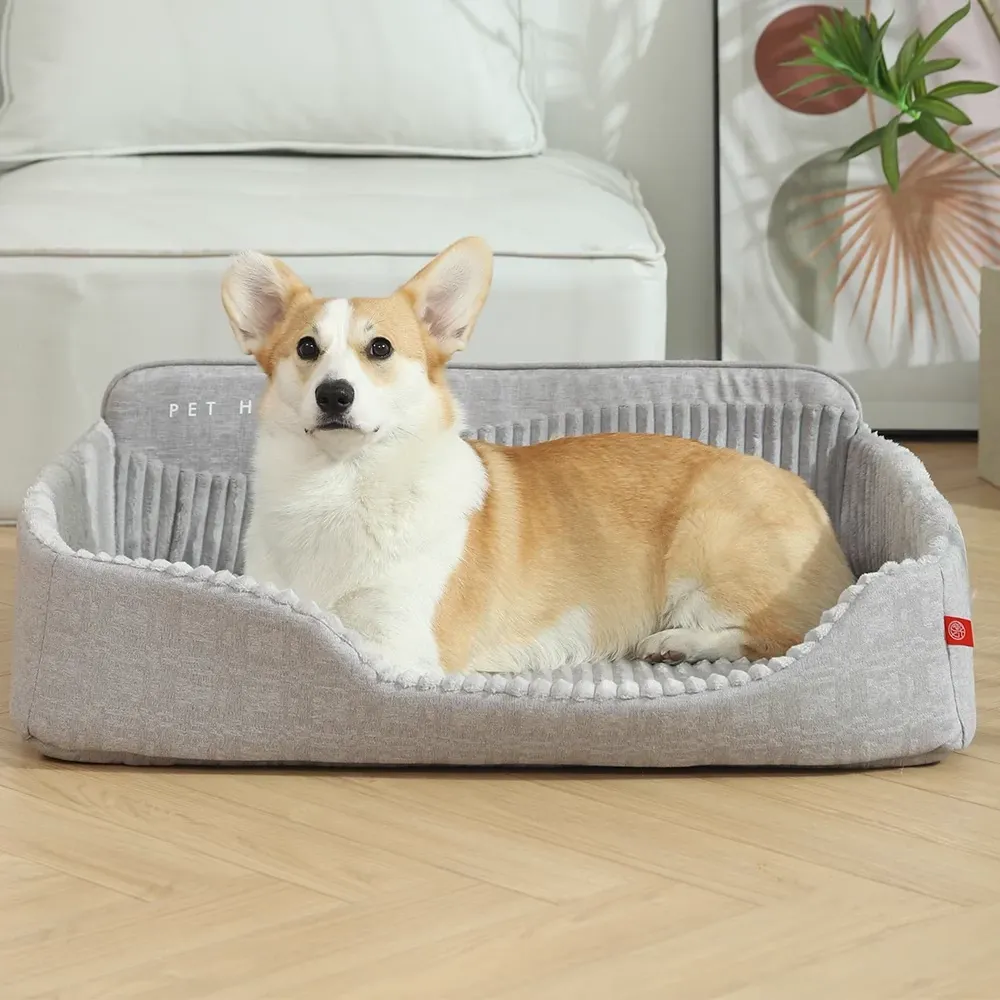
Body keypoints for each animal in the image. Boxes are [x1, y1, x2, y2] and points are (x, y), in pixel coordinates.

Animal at [222, 237, 855, 678]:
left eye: (380, 348)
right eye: (307, 347)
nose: (335, 395)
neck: (340, 483)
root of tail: (814, 502)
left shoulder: (401, 642)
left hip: (708, 543)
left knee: (785, 635)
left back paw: (679, 642)